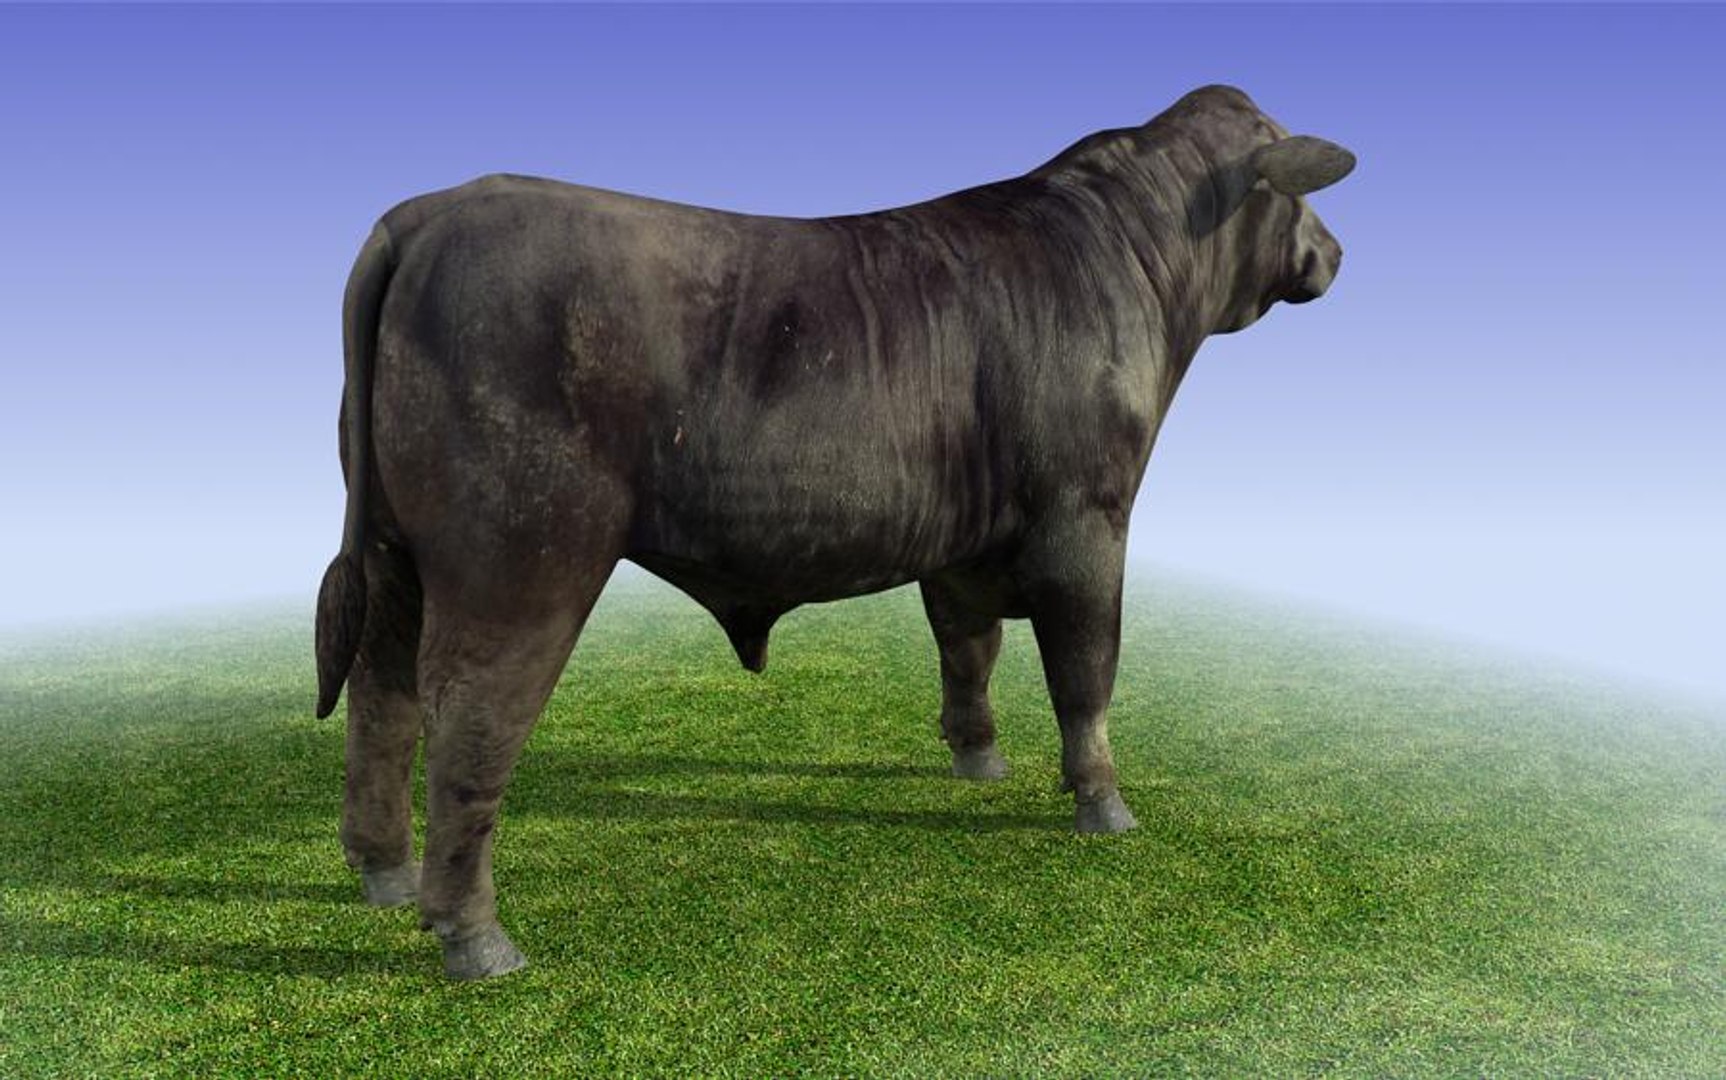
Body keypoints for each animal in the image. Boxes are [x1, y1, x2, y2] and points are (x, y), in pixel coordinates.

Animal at [314, 84, 1355, 980]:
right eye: (1293, 192)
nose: (1337, 253)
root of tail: (431, 211)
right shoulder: (1088, 516)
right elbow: (1085, 671)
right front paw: (1103, 802)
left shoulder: (964, 544)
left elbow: (967, 649)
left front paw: (978, 760)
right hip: (520, 563)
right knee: (469, 723)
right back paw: (474, 937)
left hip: (395, 560)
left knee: (380, 697)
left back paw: (383, 871)